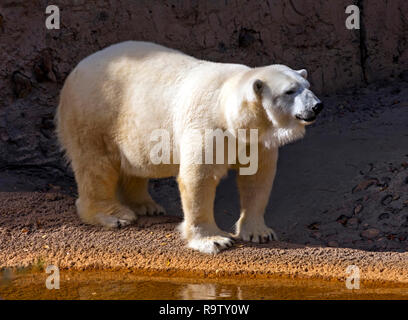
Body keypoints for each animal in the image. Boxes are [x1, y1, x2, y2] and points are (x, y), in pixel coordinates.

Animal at [55, 40, 324, 255]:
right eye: (290, 91)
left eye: (308, 85)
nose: (317, 105)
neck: (230, 113)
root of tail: (76, 69)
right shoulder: (207, 124)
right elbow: (199, 177)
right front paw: (214, 241)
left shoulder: (255, 138)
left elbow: (257, 178)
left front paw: (260, 233)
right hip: (95, 113)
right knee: (95, 165)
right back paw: (114, 214)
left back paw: (147, 206)